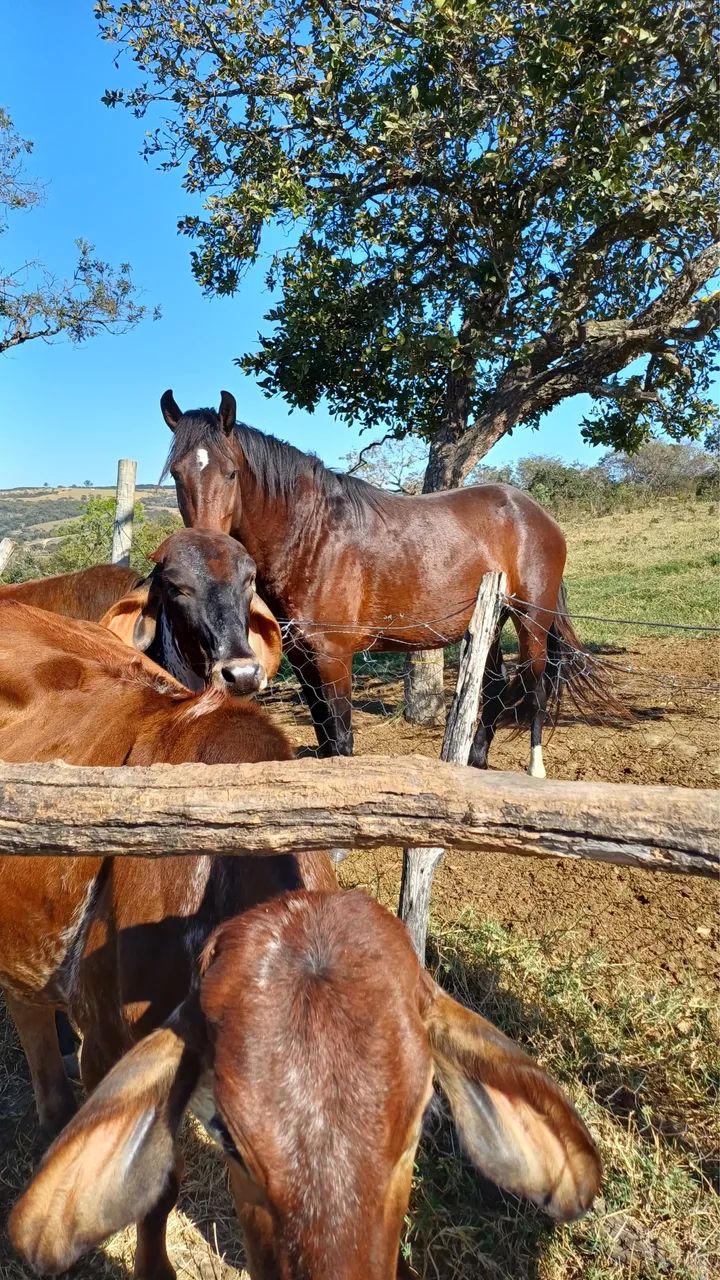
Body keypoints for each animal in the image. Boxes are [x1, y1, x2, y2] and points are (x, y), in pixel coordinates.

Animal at [160, 389, 607, 778]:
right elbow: (324, 740)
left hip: (531, 618)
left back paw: (535, 769)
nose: (203, 553)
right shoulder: (304, 661)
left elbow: (341, 740)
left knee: (536, 684)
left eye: (231, 473)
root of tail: (535, 512)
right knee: (493, 684)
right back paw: (474, 760)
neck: (312, 536)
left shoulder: (334, 657)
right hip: (489, 622)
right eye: (177, 474)